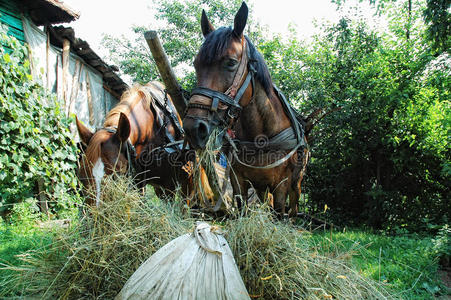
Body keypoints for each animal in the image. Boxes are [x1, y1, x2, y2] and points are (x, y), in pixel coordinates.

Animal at [184, 2, 310, 218]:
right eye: (196, 64)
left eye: (231, 62)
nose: (194, 128)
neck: (260, 137)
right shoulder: (239, 182)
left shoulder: (282, 186)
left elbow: (279, 212)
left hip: (296, 185)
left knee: (293, 209)